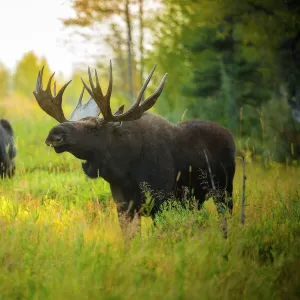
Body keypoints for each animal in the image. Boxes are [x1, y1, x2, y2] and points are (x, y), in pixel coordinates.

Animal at [32, 61, 234, 220]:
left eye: (93, 128)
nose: (54, 133)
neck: (124, 171)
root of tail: (230, 135)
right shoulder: (124, 207)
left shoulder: (161, 202)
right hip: (197, 199)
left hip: (224, 189)